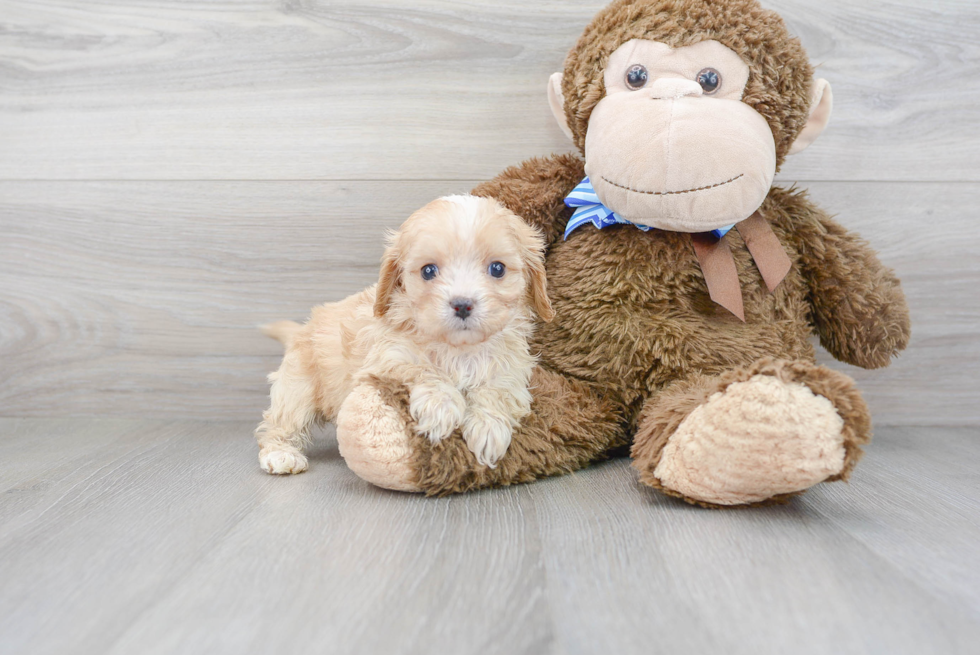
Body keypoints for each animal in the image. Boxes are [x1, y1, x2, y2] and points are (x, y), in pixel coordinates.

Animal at [256, 195, 556, 476]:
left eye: (497, 268)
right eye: (428, 271)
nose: (462, 304)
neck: (458, 349)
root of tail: (302, 328)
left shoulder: (513, 365)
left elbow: (499, 388)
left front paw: (488, 426)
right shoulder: (388, 357)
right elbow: (422, 369)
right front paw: (441, 406)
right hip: (298, 388)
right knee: (280, 423)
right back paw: (281, 454)